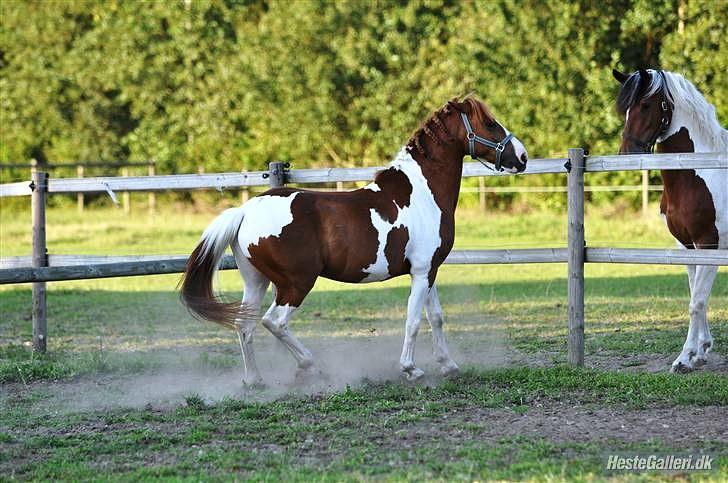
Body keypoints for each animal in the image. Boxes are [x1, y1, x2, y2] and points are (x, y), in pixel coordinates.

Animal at [179, 97, 528, 386]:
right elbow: (414, 320)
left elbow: (436, 318)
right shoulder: (422, 271)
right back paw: (310, 367)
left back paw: (255, 381)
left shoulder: (428, 270)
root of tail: (244, 211)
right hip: (296, 283)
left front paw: (449, 365)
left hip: (256, 281)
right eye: (490, 123)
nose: (522, 157)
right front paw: (411, 369)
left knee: (245, 326)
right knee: (273, 322)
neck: (421, 192)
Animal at [616, 66, 724, 372]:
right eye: (624, 109)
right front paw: (701, 351)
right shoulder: (686, 247)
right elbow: (697, 297)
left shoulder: (708, 245)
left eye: (645, 105)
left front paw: (684, 359)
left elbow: (696, 302)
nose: (626, 155)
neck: (699, 174)